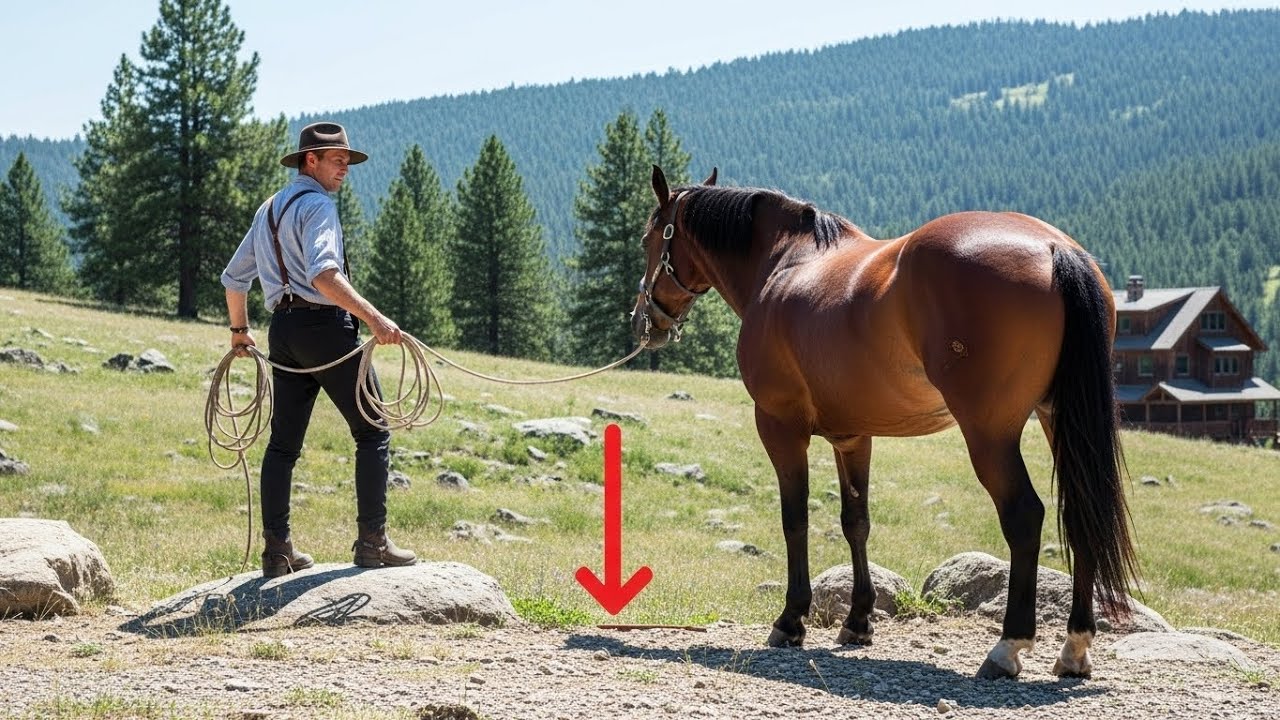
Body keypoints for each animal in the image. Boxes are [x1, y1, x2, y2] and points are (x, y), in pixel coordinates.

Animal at [631, 165, 1138, 679]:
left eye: (649, 238)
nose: (643, 320)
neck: (786, 264)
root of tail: (1055, 248)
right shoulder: (853, 437)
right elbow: (856, 521)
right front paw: (857, 622)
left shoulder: (780, 426)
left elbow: (794, 519)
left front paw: (791, 621)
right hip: (1059, 422)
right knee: (1082, 512)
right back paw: (1074, 647)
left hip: (990, 434)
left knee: (1024, 516)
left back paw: (1007, 646)